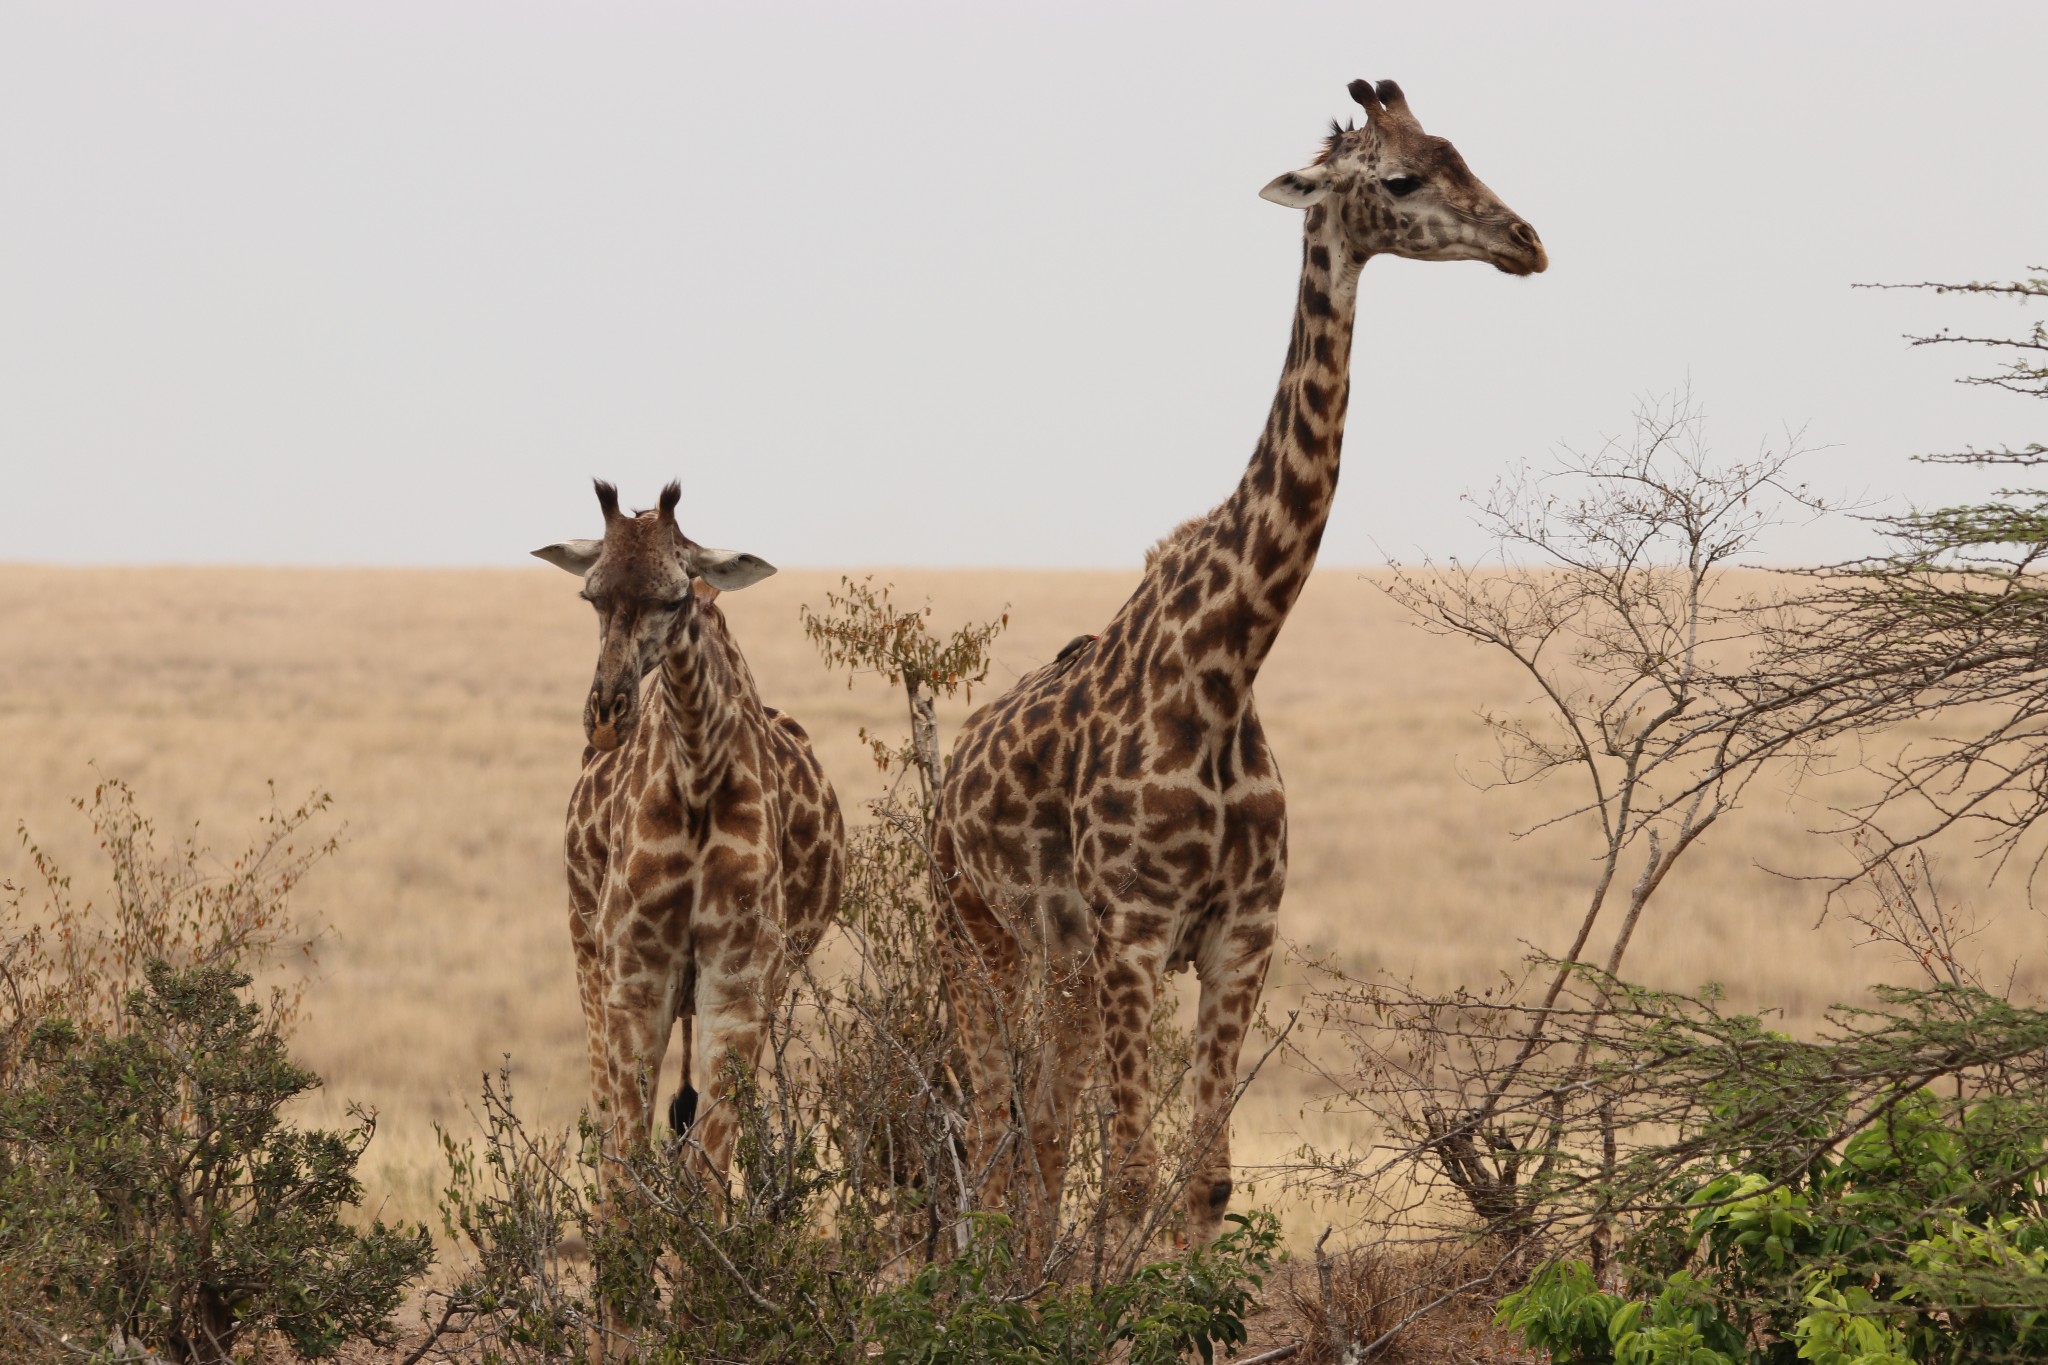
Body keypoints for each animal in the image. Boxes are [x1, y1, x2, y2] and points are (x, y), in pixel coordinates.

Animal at [536, 482, 847, 1186]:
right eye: (591, 595)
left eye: (675, 597)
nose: (607, 715)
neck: (699, 776)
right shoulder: (634, 976)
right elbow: (623, 1166)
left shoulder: (739, 982)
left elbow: (708, 1170)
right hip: (586, 953)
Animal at [937, 80, 1540, 1244]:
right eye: (1401, 177)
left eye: (1462, 152)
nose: (1526, 242)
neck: (1223, 665)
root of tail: (946, 775)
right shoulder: (1134, 933)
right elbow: (1130, 1179)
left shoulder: (1238, 932)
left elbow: (1202, 1182)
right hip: (976, 931)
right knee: (993, 1138)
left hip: (1064, 960)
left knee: (1040, 1139)